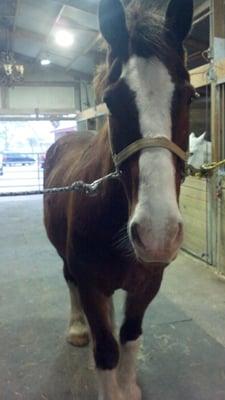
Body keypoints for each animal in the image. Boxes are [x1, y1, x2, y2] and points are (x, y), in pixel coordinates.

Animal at [44, 0, 195, 400]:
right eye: (110, 100)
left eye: (190, 95)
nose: (158, 233)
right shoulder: (91, 284)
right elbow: (107, 350)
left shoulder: (147, 283)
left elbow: (129, 337)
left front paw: (129, 387)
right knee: (69, 282)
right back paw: (77, 329)